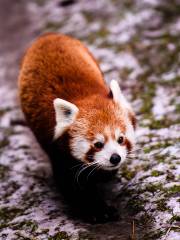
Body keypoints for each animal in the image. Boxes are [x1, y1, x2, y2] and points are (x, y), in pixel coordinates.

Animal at [18, 32, 136, 222]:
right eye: (98, 144)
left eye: (121, 139)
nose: (115, 158)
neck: (84, 96)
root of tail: (48, 35)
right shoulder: (58, 151)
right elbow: (73, 186)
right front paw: (97, 211)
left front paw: (106, 176)